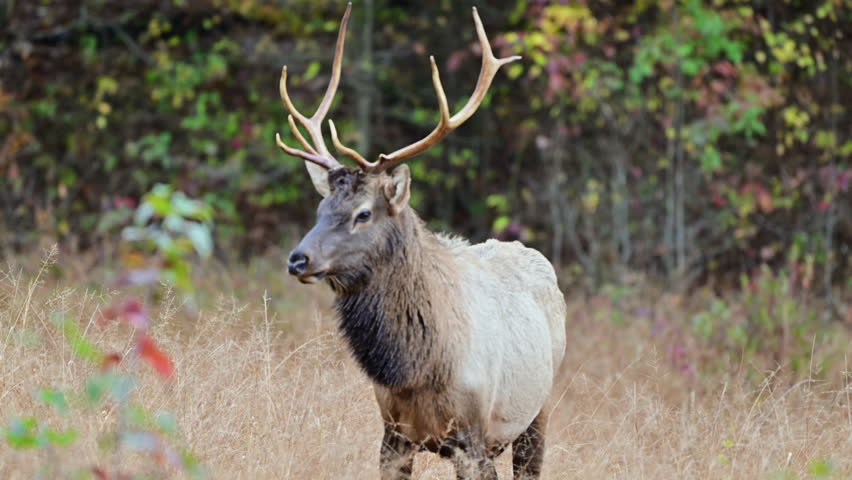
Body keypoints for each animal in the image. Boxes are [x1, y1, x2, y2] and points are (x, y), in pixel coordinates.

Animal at [275, 4, 566, 479]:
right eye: (321, 209)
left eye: (363, 213)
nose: (299, 260)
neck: (417, 371)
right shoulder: (393, 433)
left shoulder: (473, 437)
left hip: (538, 407)